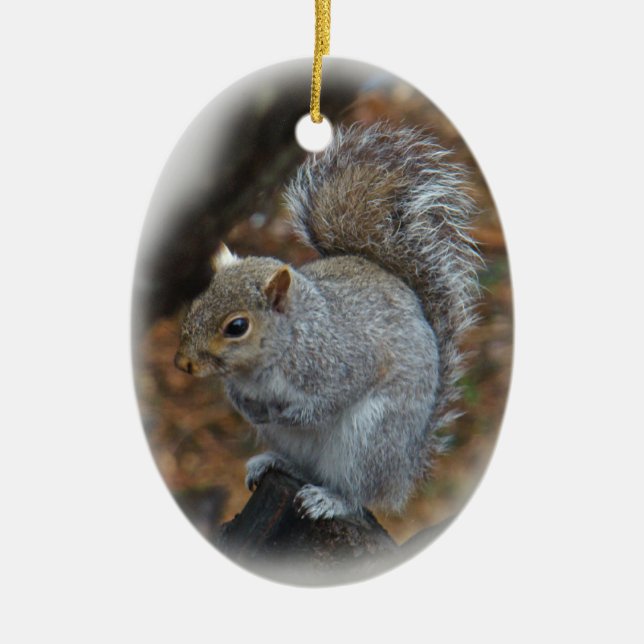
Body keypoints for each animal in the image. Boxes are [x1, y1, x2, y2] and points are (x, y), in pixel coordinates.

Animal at [174, 122, 481, 521]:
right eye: (198, 300)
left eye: (237, 327)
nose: (183, 363)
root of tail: (404, 471)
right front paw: (249, 408)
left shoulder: (344, 361)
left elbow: (333, 397)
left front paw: (291, 413)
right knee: (308, 470)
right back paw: (273, 463)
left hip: (370, 439)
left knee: (358, 493)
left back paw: (331, 499)